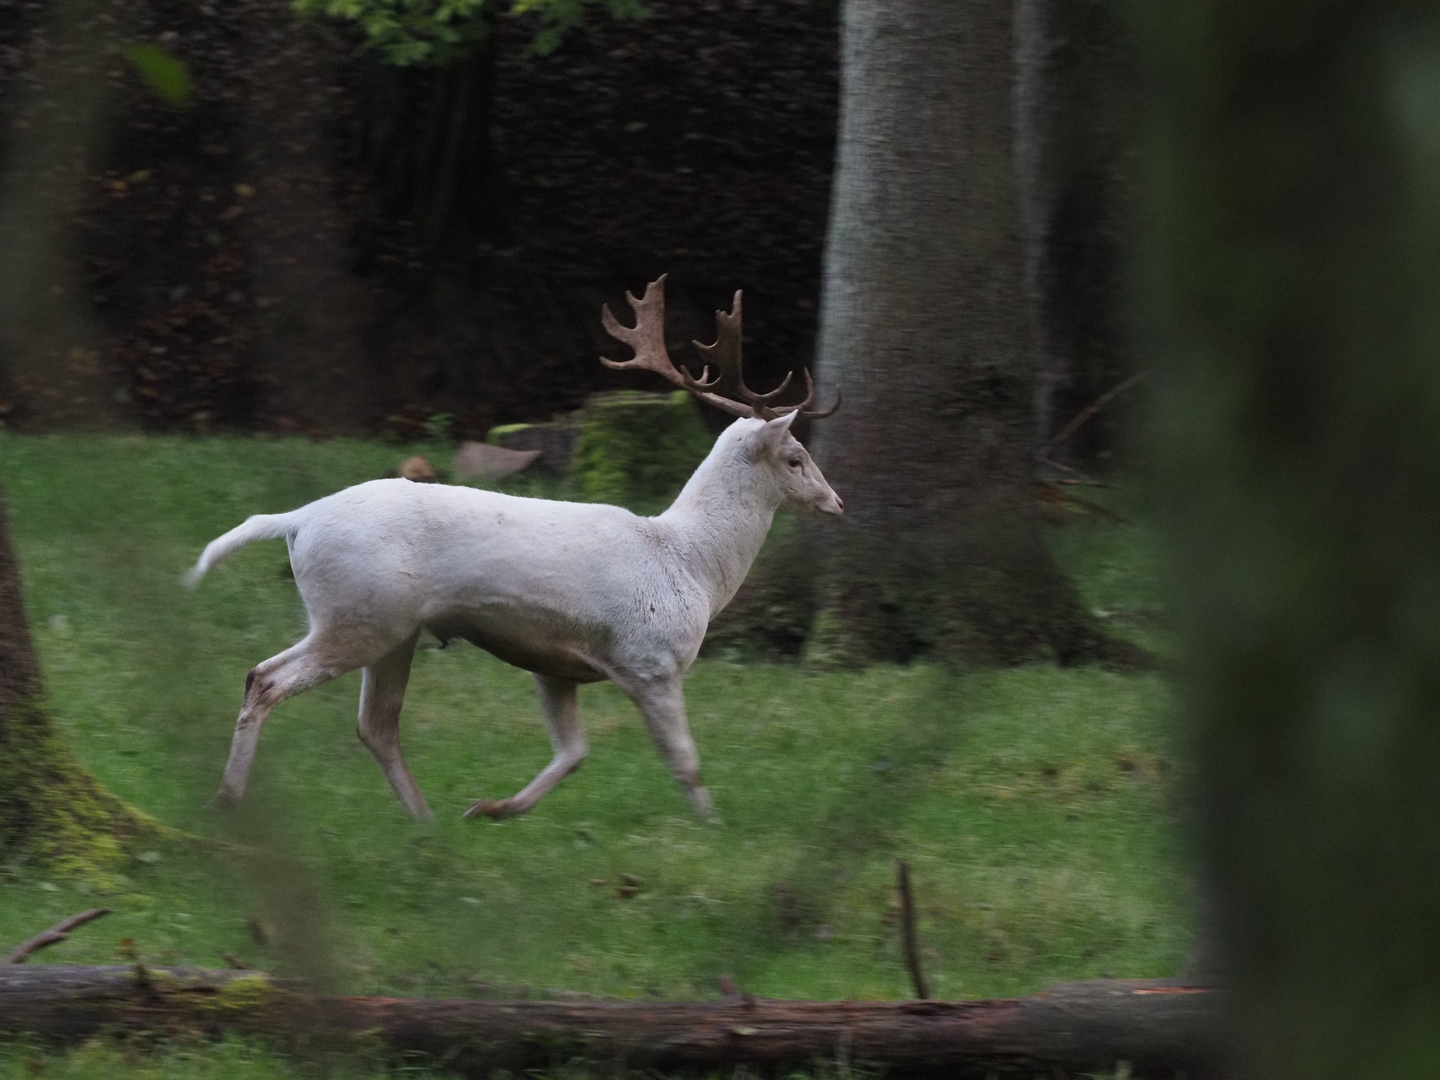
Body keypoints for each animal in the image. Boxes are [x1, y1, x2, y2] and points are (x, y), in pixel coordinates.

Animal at [190, 276, 840, 817]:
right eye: (796, 457)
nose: (836, 502)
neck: (691, 564)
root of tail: (298, 520)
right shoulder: (649, 659)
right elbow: (686, 763)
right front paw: (712, 828)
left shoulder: (556, 665)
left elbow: (573, 753)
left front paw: (492, 808)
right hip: (359, 613)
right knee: (267, 679)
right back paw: (228, 800)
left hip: (391, 628)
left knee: (375, 724)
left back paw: (426, 823)